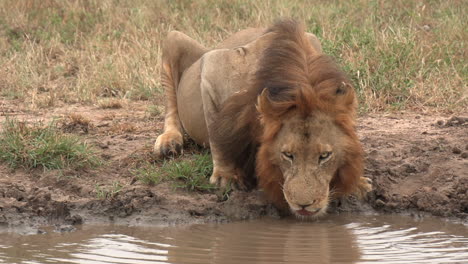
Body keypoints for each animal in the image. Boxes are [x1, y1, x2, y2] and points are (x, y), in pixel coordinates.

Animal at [155, 19, 372, 219]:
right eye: (287, 155)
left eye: (325, 155)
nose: (304, 205)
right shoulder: (213, 65)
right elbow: (216, 131)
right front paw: (227, 176)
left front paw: (358, 183)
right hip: (174, 39)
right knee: (171, 106)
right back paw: (169, 142)